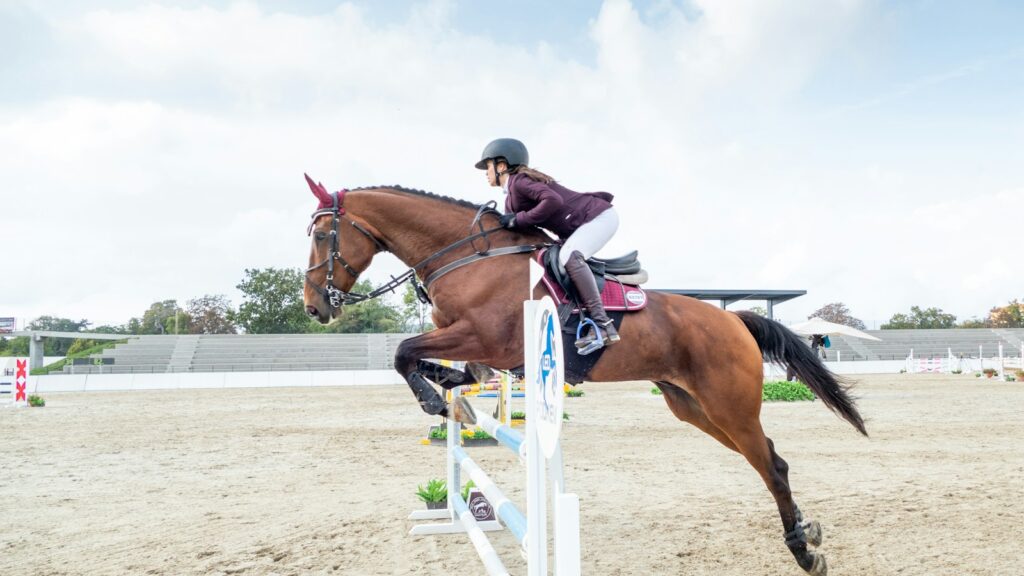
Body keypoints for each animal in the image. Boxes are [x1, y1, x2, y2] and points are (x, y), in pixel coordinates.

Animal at [302, 176, 865, 576]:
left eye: (324, 234)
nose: (314, 307)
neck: (467, 256)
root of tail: (733, 318)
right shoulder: (473, 343)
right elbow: (436, 363)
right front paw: (452, 394)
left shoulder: (488, 339)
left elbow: (404, 353)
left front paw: (437, 402)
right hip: (694, 408)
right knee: (770, 458)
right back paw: (808, 534)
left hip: (729, 406)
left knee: (772, 467)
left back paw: (803, 552)